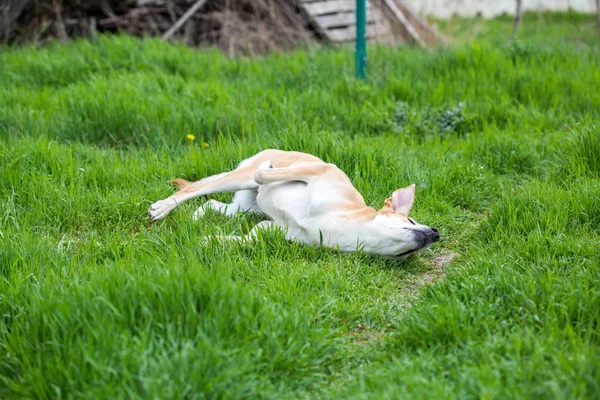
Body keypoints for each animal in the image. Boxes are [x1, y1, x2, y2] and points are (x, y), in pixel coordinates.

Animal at [148, 148, 438, 258]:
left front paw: (208, 240)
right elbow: (264, 174)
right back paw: (162, 208)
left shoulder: (268, 229)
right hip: (239, 179)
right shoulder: (322, 171)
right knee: (198, 188)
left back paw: (195, 219)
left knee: (210, 204)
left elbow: (242, 240)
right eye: (410, 219)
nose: (436, 233)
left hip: (242, 208)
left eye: (408, 254)